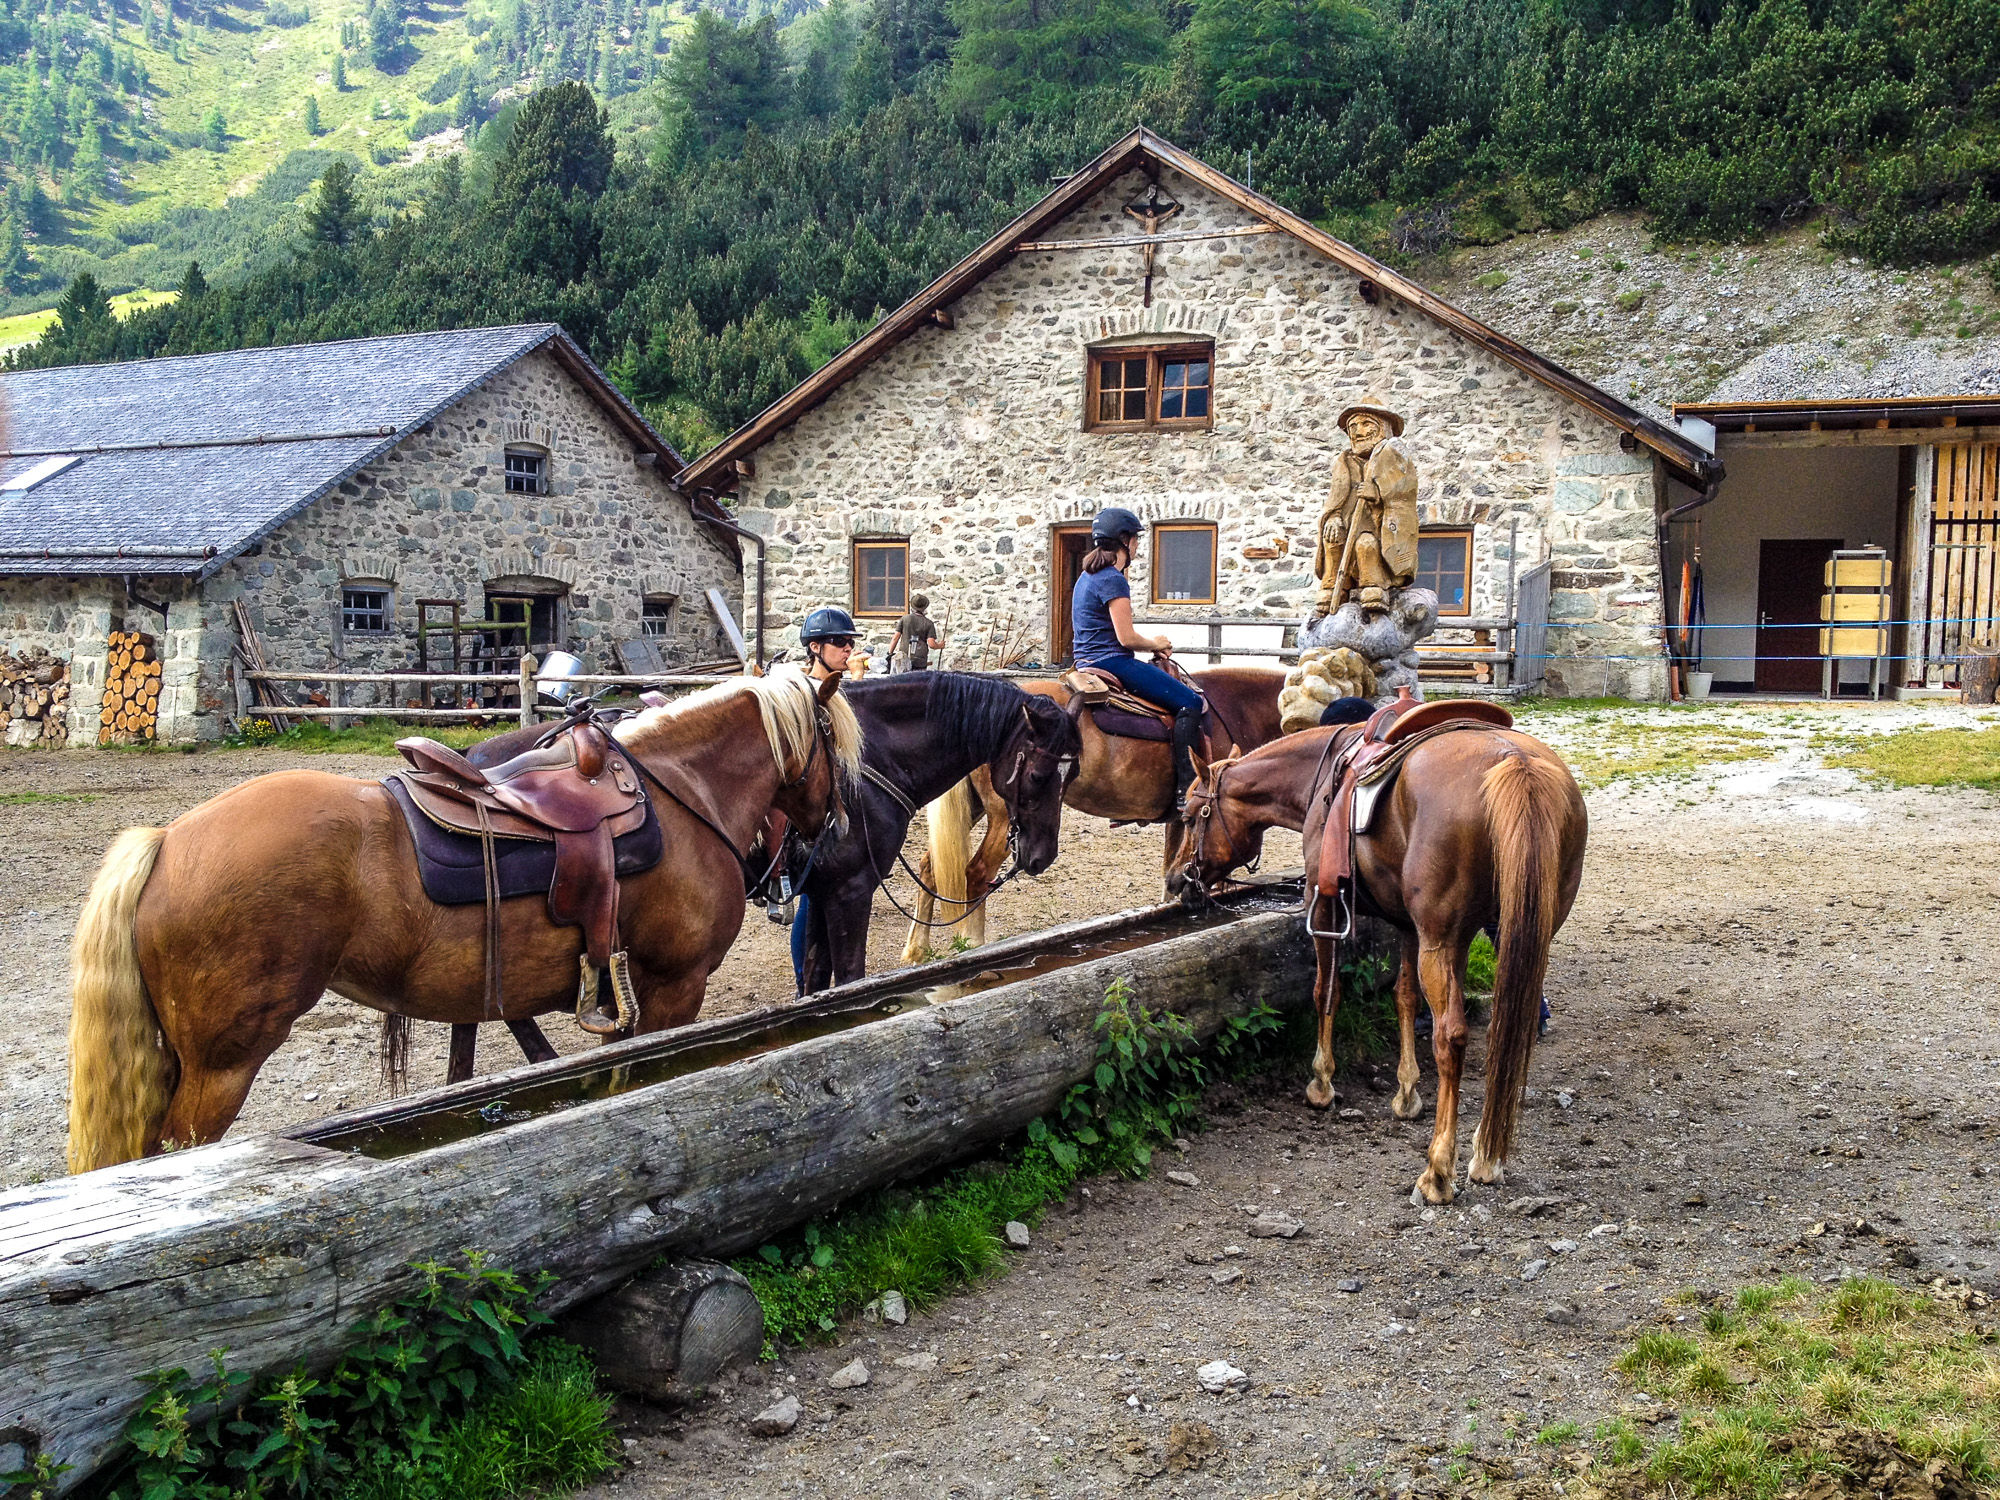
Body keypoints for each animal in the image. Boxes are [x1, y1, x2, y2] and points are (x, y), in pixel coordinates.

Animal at [66, 670, 861, 1172]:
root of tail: (167, 841)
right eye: (834, 746)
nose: (836, 829)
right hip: (222, 1065)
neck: (678, 792)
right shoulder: (673, 987)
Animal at [791, 671, 1080, 994]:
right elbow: (849, 979)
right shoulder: (849, 891)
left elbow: (816, 979)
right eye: (1037, 776)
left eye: (1075, 773)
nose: (1044, 856)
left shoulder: (823, 889)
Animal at [899, 665, 1287, 961]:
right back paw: (973, 948)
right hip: (1002, 817)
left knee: (929, 867)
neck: (1234, 707)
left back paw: (916, 951)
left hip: (975, 807)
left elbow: (1169, 876)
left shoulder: (1184, 821)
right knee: (977, 874)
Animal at [1166, 719, 1587, 1205]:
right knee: (1510, 1025)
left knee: (1451, 1038)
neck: (1319, 777)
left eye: (1190, 815)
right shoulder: (1410, 927)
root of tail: (1514, 761)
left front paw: (1322, 1083)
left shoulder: (1324, 905)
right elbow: (1403, 997)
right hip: (1510, 936)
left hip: (1441, 942)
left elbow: (1326, 991)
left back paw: (1438, 1169)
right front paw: (1406, 1091)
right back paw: (1486, 1155)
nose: (1175, 880)